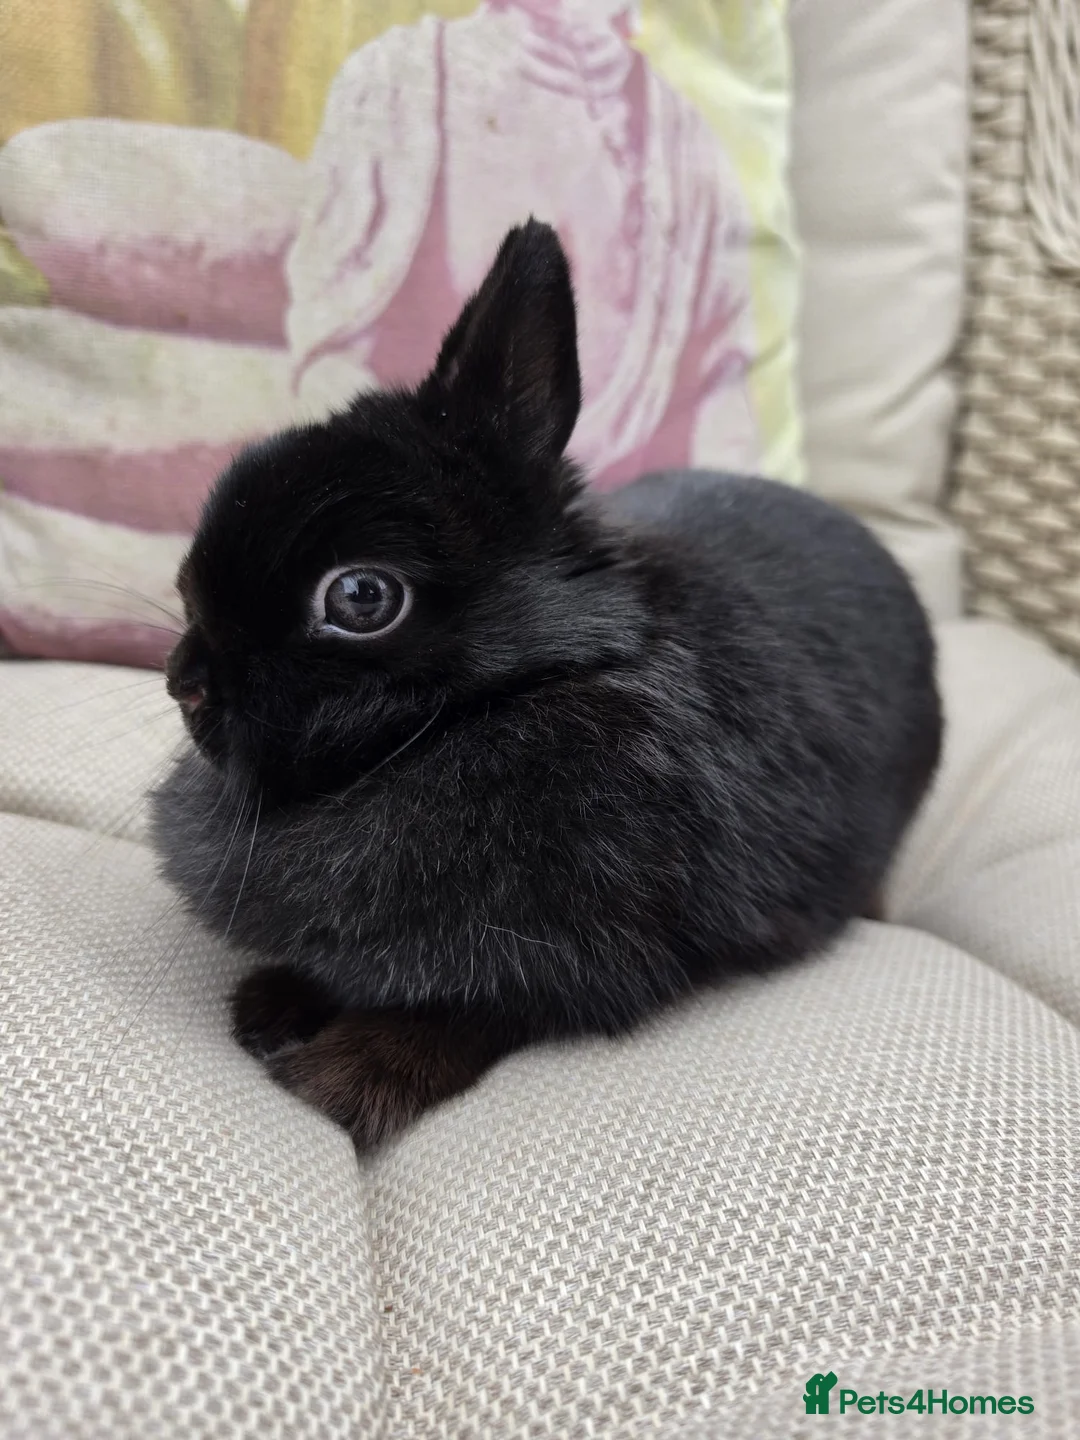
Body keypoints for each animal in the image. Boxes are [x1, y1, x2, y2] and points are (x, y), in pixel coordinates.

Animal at [151, 219, 942, 1150]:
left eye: (361, 596)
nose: (184, 684)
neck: (506, 697)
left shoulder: (579, 963)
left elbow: (465, 1014)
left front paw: (343, 1079)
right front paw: (270, 1004)